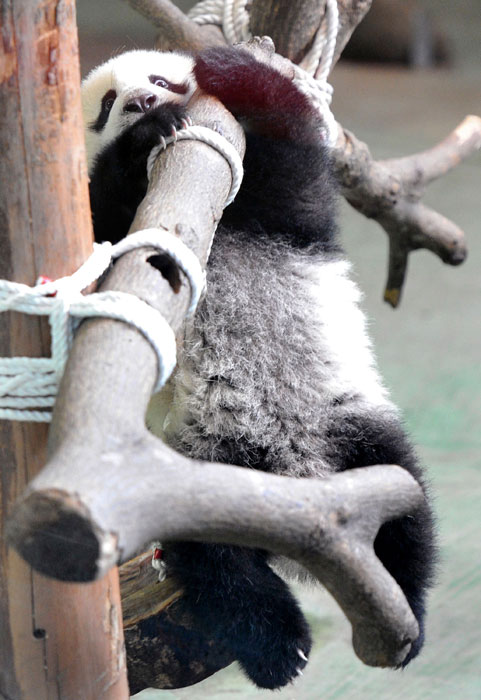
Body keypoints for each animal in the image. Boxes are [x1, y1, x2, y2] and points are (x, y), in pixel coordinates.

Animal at [81, 46, 437, 689]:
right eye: (106, 103)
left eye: (161, 78)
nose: (143, 101)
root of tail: (291, 478)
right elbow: (98, 241)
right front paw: (144, 137)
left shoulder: (281, 216)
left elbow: (294, 168)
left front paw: (228, 67)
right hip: (202, 470)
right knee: (218, 563)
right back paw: (281, 649)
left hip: (344, 424)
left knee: (404, 511)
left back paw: (404, 619)